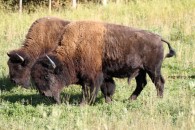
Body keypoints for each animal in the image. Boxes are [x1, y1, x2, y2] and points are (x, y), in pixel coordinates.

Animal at [30, 21, 175, 104]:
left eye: (47, 76)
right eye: (35, 79)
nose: (45, 94)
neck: (75, 48)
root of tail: (158, 38)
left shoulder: (91, 77)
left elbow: (89, 91)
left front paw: (84, 104)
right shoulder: (104, 75)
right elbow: (107, 89)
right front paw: (108, 102)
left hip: (152, 69)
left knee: (159, 82)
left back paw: (158, 100)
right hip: (141, 71)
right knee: (142, 84)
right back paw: (130, 100)